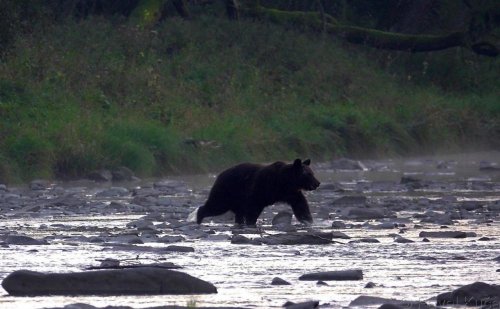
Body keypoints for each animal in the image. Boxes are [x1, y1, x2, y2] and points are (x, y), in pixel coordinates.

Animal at [188, 158, 320, 225]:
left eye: (312, 173)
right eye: (308, 174)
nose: (317, 183)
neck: (283, 182)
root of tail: (219, 175)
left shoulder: (290, 193)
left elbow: (300, 204)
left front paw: (308, 219)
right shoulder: (261, 187)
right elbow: (254, 206)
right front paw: (251, 221)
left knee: (237, 211)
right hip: (227, 191)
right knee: (216, 205)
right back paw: (199, 217)